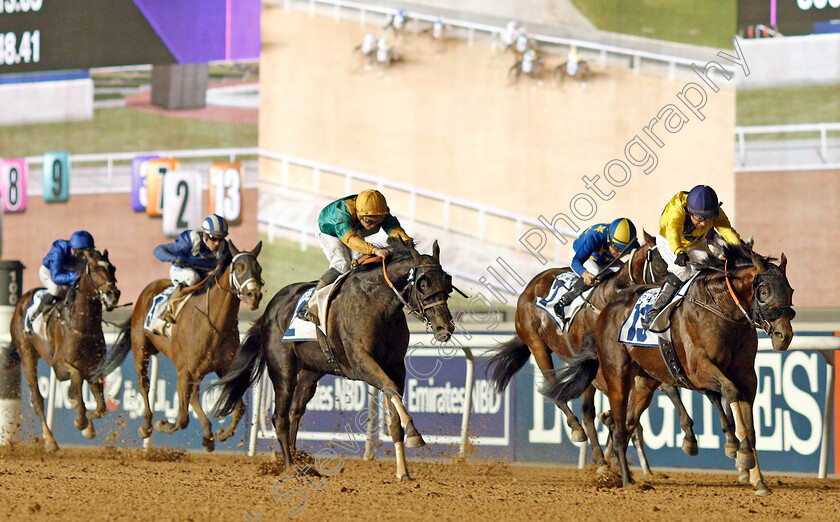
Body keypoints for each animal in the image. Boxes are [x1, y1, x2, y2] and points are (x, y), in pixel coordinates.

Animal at [11, 247, 120, 446]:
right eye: (94, 269)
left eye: (113, 268)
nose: (112, 294)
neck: (83, 327)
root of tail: (22, 300)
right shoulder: (59, 366)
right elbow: (76, 378)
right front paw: (81, 420)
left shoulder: (95, 368)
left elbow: (101, 407)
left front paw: (88, 425)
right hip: (27, 353)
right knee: (37, 398)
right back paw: (50, 440)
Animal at [94, 239, 262, 446]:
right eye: (239, 268)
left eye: (258, 268)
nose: (254, 295)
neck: (214, 322)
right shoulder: (184, 371)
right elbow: (182, 419)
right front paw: (163, 424)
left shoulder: (224, 367)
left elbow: (239, 408)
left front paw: (222, 433)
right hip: (141, 347)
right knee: (144, 383)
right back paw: (147, 425)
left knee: (194, 395)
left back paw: (207, 434)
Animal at [213, 238, 456, 478]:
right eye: (423, 283)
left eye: (447, 282)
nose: (445, 327)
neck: (377, 303)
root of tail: (269, 310)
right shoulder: (361, 363)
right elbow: (389, 388)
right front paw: (414, 433)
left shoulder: (396, 366)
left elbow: (394, 406)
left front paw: (403, 471)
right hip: (282, 368)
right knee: (279, 418)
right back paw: (290, 467)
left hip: (310, 372)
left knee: (294, 412)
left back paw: (297, 459)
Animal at [544, 234, 796, 494]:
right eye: (764, 290)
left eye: (790, 290)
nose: (783, 335)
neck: (721, 309)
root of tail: (605, 309)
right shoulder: (698, 370)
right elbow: (729, 392)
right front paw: (741, 454)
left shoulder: (747, 376)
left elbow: (749, 424)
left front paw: (758, 479)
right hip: (617, 376)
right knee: (618, 425)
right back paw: (624, 480)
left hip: (644, 382)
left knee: (626, 424)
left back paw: (626, 474)